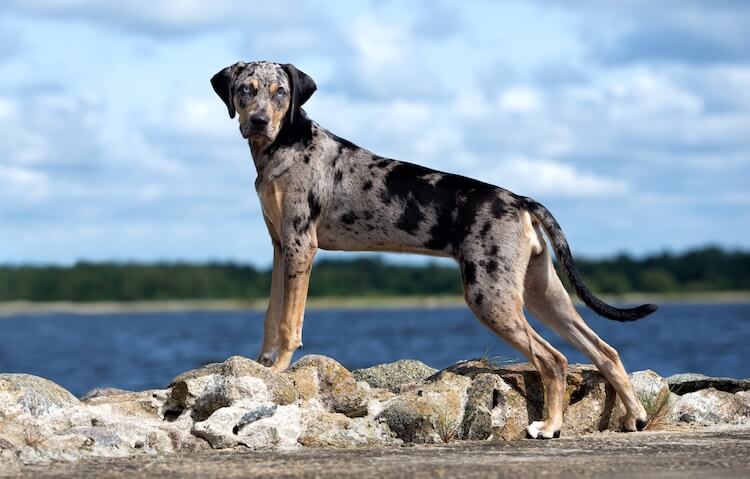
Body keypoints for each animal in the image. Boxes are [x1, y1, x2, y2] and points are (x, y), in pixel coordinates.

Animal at [212, 62, 656, 440]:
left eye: (281, 92)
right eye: (245, 89)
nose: (258, 121)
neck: (284, 144)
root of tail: (521, 200)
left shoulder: (301, 244)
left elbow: (289, 323)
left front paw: (278, 369)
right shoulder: (279, 246)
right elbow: (271, 315)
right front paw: (262, 364)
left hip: (490, 296)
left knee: (554, 359)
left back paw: (549, 426)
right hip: (540, 291)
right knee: (604, 350)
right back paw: (634, 416)